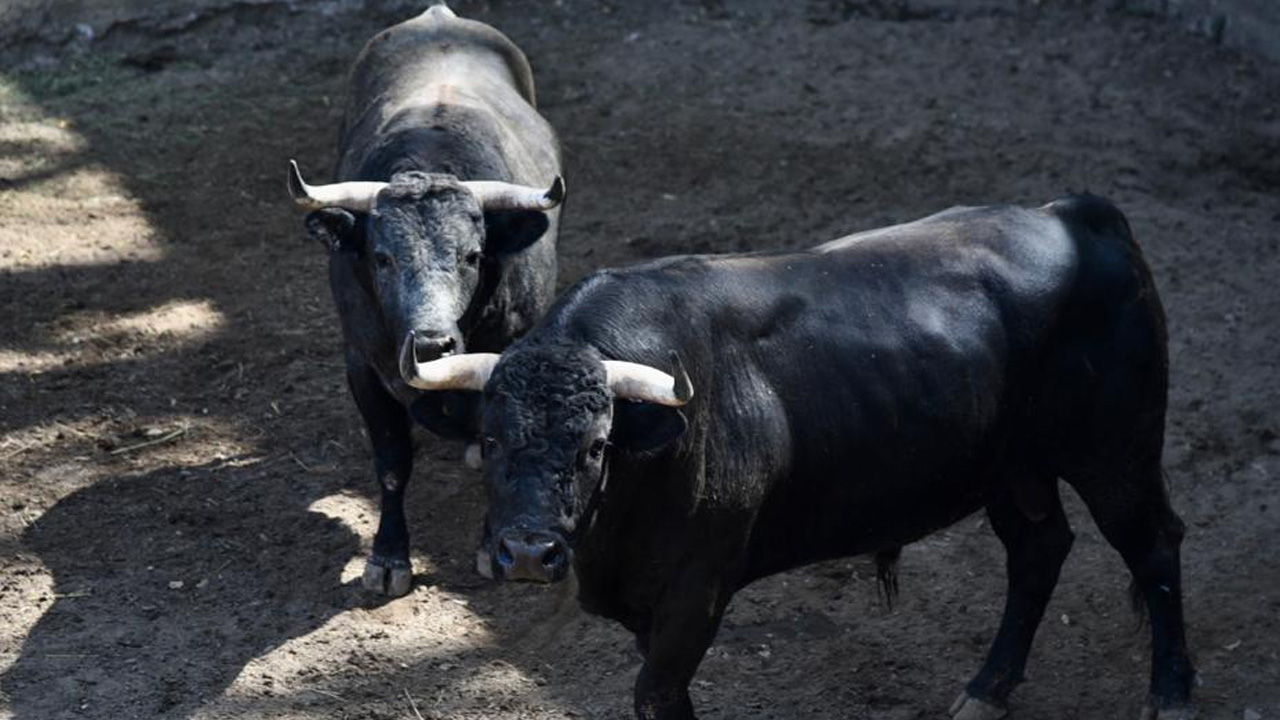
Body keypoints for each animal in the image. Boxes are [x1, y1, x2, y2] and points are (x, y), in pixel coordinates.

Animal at [290, 1, 570, 594]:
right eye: (381, 257)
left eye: (472, 255)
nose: (432, 343)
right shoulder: (362, 365)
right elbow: (393, 463)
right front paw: (388, 557)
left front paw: (492, 548)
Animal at [401, 194, 1198, 717]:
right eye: (491, 438)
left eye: (597, 445)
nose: (528, 554)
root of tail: (1077, 213)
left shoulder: (699, 587)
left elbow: (658, 692)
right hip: (1013, 469)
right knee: (1038, 551)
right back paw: (985, 691)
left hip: (1116, 452)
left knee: (1153, 546)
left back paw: (1172, 694)